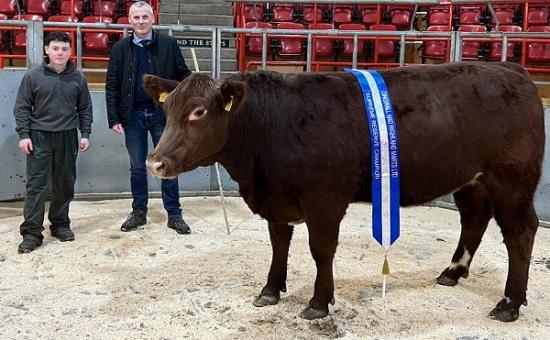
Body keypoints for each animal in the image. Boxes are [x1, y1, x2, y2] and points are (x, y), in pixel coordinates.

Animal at [143, 62, 548, 322]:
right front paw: (270, 291)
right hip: (470, 179)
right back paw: (452, 272)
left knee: (521, 232)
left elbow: (321, 251)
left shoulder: (325, 199)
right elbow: (279, 245)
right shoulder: (277, 197)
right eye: (167, 107)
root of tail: (512, 71)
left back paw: (509, 303)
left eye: (198, 112)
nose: (155, 162)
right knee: (474, 218)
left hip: (512, 178)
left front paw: (319, 303)